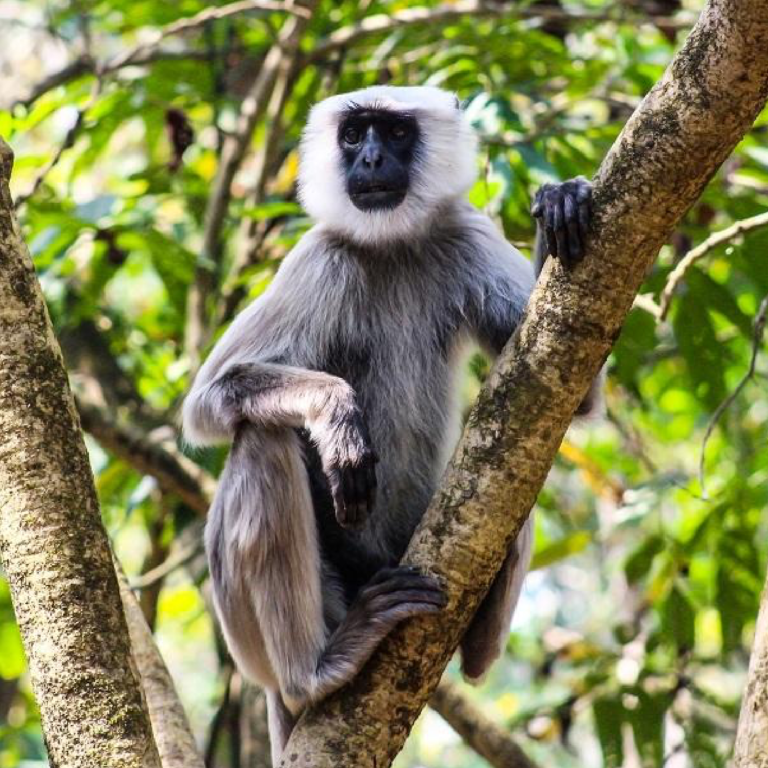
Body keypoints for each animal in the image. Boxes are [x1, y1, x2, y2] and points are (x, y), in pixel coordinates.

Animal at [183, 85, 596, 760]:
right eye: (354, 135)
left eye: (396, 133)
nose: (371, 159)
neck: (390, 244)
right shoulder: (320, 257)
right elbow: (207, 402)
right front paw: (338, 417)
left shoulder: (463, 231)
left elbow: (570, 393)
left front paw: (559, 201)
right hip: (261, 628)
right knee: (261, 438)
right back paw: (313, 672)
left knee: (524, 455)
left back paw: (478, 639)